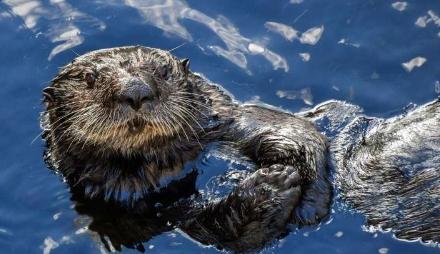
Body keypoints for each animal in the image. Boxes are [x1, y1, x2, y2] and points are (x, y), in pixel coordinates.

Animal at [41, 45, 332, 252]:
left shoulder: (220, 119)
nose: (136, 91)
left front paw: (309, 200)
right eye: (89, 78)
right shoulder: (117, 206)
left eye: (163, 72)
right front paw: (271, 186)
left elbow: (293, 130)